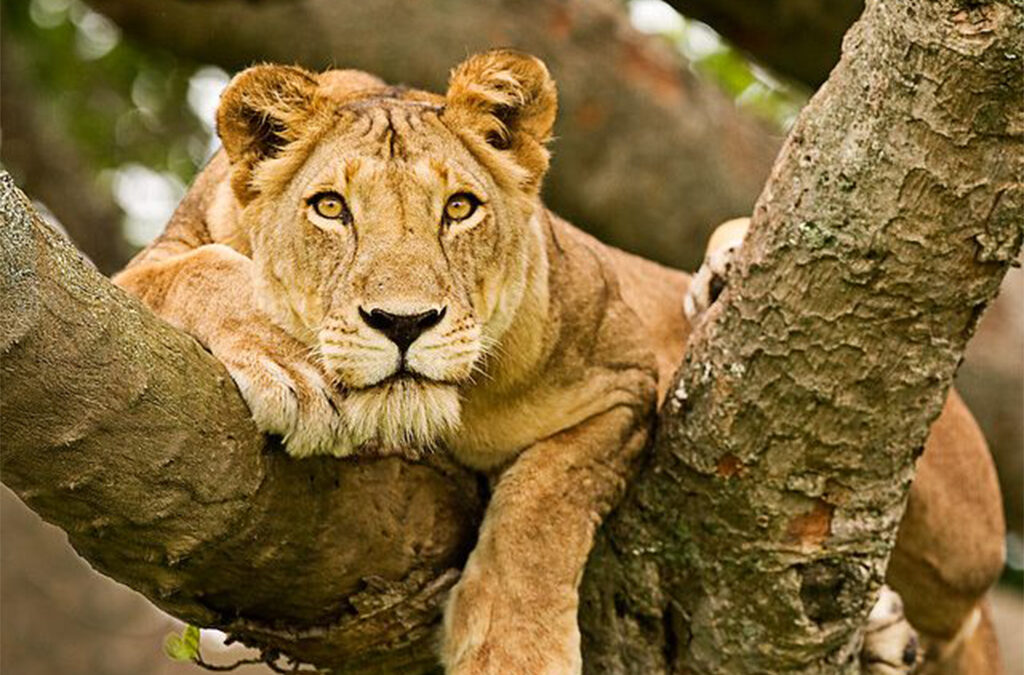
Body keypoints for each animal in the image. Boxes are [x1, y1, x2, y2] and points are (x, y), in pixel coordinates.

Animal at [114, 50, 1005, 674]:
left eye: (459, 208)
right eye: (330, 208)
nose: (404, 323)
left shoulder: (621, 382)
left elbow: (543, 505)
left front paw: (514, 649)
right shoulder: (148, 266)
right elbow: (194, 272)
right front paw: (290, 361)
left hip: (965, 526)